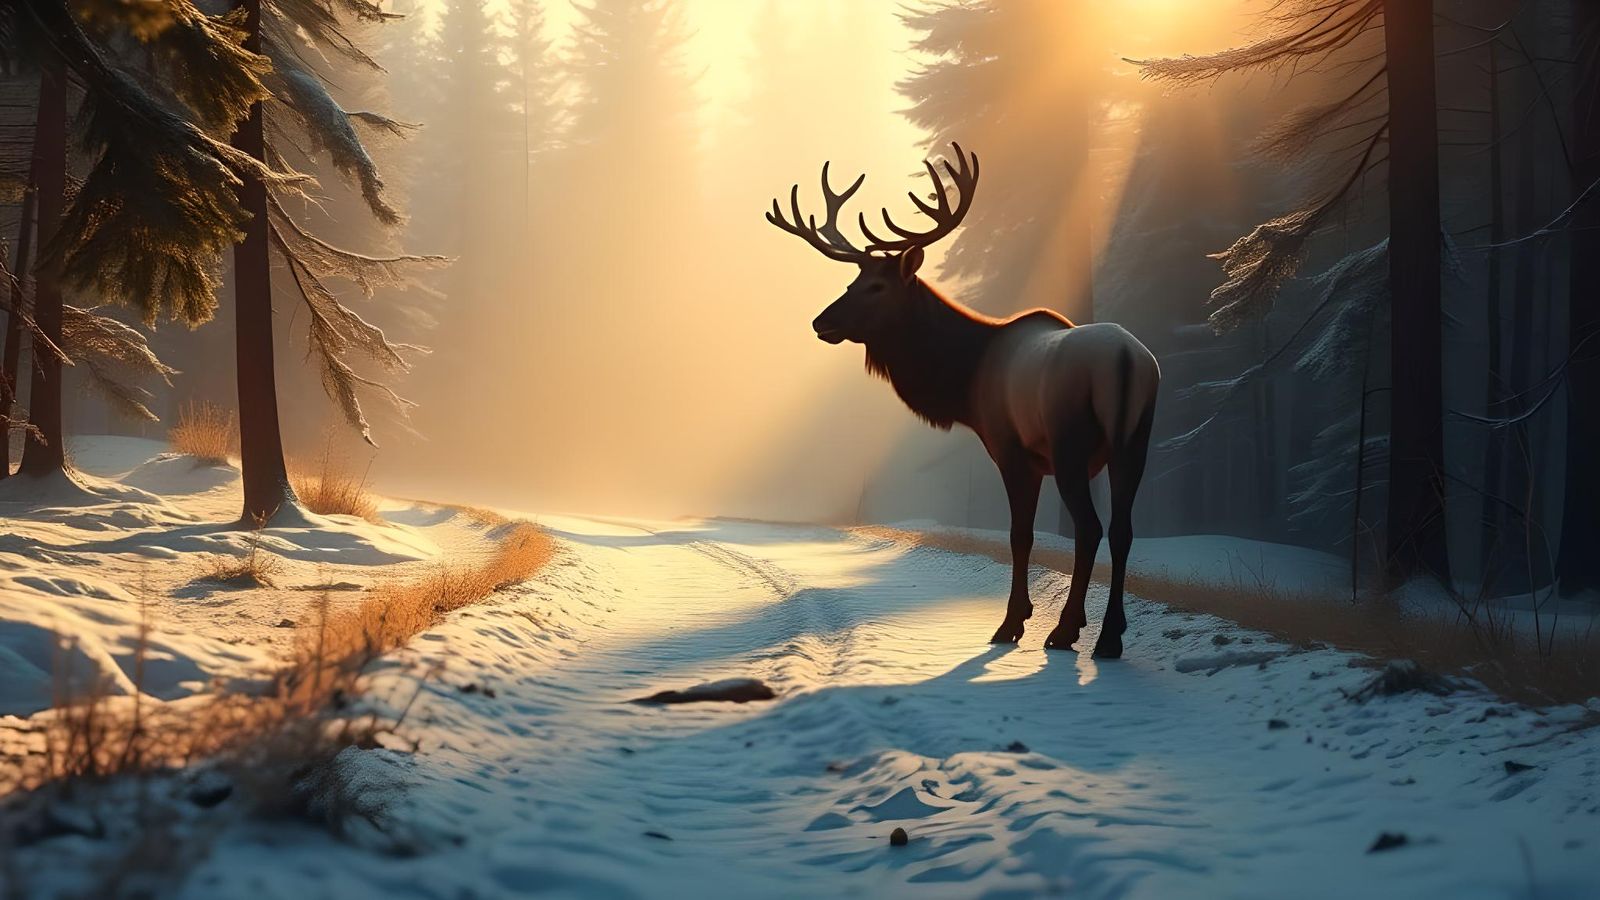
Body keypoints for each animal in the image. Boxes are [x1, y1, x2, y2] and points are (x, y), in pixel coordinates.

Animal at [766, 144, 1160, 658]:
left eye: (877, 286)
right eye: (852, 283)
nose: (821, 322)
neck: (966, 382)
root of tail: (1127, 362)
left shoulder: (1012, 449)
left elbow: (1020, 536)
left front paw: (1012, 622)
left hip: (1070, 445)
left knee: (1090, 527)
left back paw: (1066, 630)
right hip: (1134, 442)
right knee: (1122, 529)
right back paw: (1110, 635)